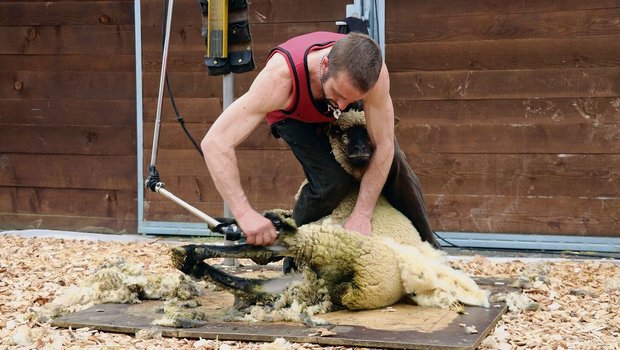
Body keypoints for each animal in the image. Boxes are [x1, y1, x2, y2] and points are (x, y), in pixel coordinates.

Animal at [170, 109, 490, 320]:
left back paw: (190, 253)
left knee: (274, 247)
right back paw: (193, 263)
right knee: (256, 284)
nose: (360, 149)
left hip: (332, 243)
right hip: (306, 278)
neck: (355, 190)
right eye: (339, 131)